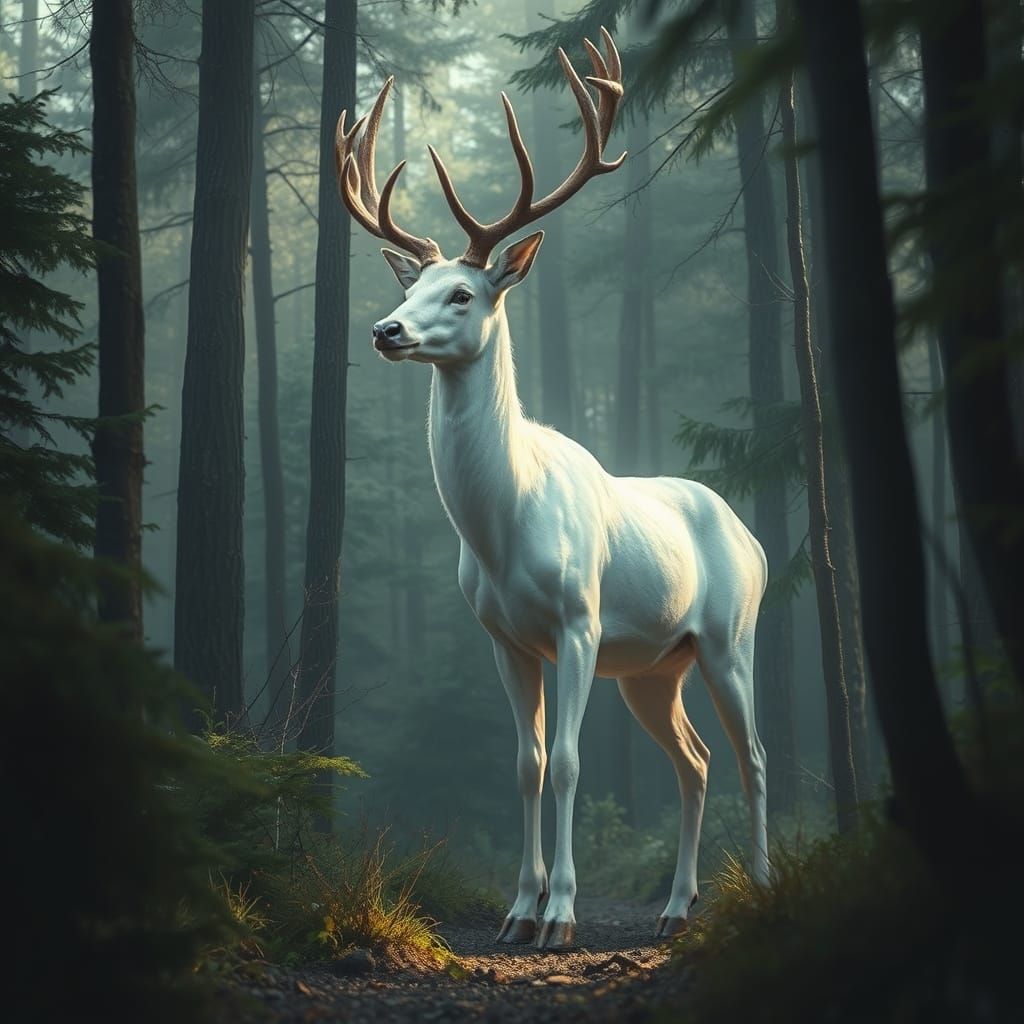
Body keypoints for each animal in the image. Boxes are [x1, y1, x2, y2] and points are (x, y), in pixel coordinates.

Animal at [334, 29, 770, 950]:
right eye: (408, 287)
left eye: (462, 293)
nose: (387, 330)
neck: (502, 529)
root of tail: (749, 535)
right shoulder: (504, 638)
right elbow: (528, 763)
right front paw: (516, 910)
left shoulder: (579, 620)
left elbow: (569, 762)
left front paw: (561, 915)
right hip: (654, 667)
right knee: (694, 760)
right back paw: (675, 908)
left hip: (729, 635)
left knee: (750, 754)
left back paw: (760, 885)